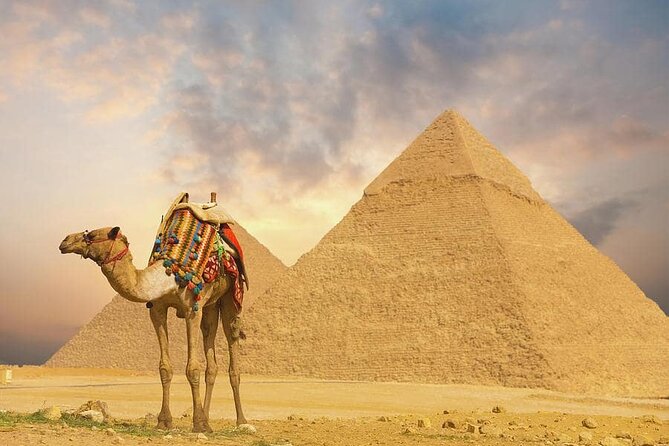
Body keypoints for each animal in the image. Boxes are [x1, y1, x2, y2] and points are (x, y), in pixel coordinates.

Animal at [59, 224, 248, 433]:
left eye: (92, 235)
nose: (65, 241)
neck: (170, 277)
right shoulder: (157, 309)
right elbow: (165, 367)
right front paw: (164, 421)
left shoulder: (192, 309)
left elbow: (193, 368)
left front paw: (198, 423)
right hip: (210, 306)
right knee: (211, 355)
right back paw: (207, 418)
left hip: (230, 296)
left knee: (232, 343)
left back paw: (241, 421)